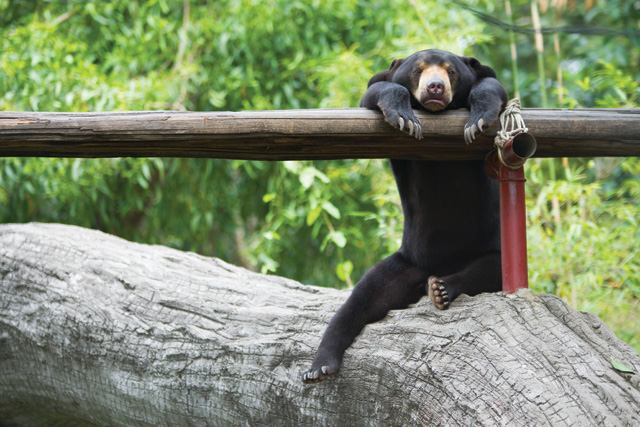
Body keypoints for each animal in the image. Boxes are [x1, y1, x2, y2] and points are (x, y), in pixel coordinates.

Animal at [302, 49, 508, 384]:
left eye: (450, 71)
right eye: (418, 71)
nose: (435, 87)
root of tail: (435, 267)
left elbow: (491, 86)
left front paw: (478, 120)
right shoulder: (376, 92)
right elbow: (373, 93)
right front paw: (404, 117)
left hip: (487, 245)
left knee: (491, 269)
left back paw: (441, 289)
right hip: (406, 264)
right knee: (364, 298)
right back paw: (319, 366)